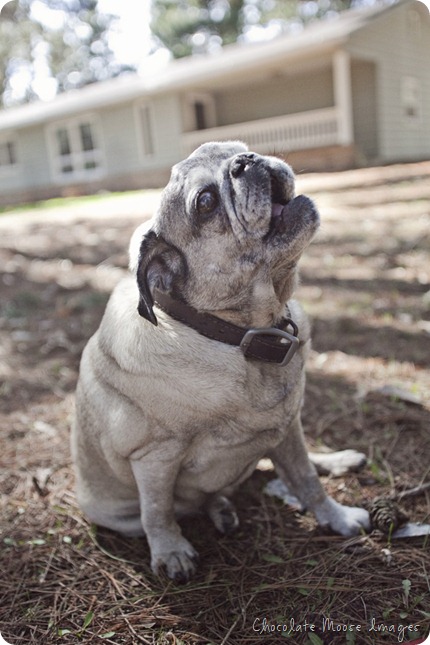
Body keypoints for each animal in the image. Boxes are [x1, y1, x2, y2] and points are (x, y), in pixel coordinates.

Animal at [71, 142, 370, 584]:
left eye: (237, 149)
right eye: (206, 203)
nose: (247, 161)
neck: (240, 336)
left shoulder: (287, 426)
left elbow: (307, 480)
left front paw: (336, 517)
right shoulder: (154, 458)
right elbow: (157, 512)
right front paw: (171, 552)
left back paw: (332, 461)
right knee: (173, 509)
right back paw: (218, 511)